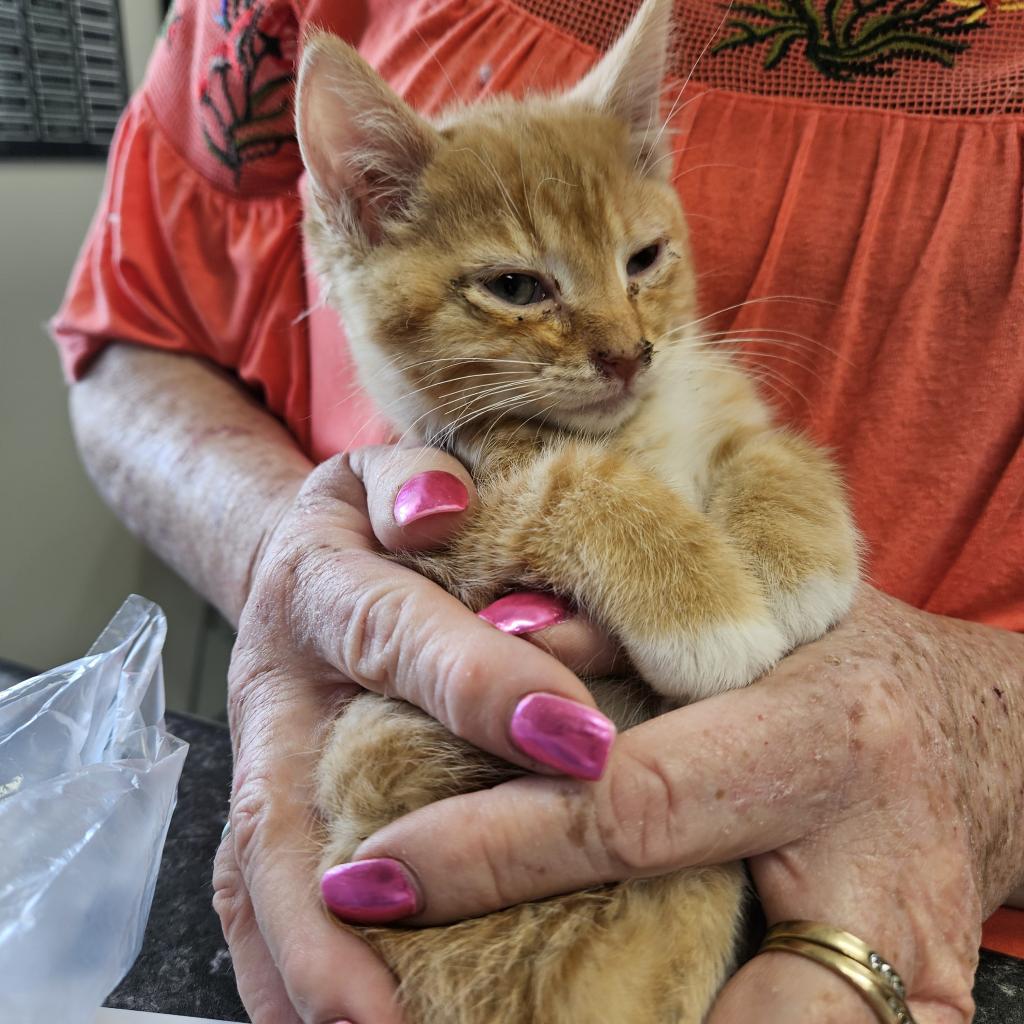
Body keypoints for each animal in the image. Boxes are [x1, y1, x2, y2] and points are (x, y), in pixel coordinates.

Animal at [294, 4, 856, 1019]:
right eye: (517, 287)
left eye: (644, 258)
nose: (630, 354)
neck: (637, 424)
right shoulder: (457, 518)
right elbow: (576, 486)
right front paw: (709, 614)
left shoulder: (725, 405)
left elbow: (772, 451)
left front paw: (795, 569)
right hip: (378, 750)